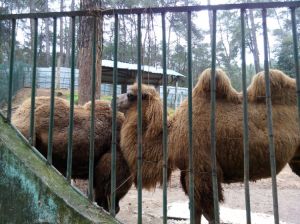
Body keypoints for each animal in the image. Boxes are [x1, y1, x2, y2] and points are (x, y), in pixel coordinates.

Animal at [117, 69, 300, 223]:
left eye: (130, 94)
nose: (115, 99)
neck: (171, 136)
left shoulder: (202, 170)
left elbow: (209, 212)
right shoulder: (189, 171)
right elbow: (196, 209)